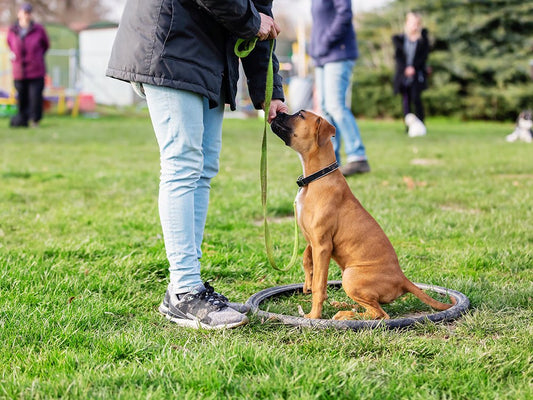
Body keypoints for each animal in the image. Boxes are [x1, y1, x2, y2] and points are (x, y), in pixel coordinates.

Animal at [270, 111, 454, 320]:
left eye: (300, 115)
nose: (277, 112)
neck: (317, 178)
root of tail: (402, 279)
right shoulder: (312, 239)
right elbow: (306, 258)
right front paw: (307, 283)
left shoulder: (323, 245)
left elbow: (320, 284)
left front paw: (314, 316)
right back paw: (344, 306)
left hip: (350, 276)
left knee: (380, 314)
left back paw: (345, 314)